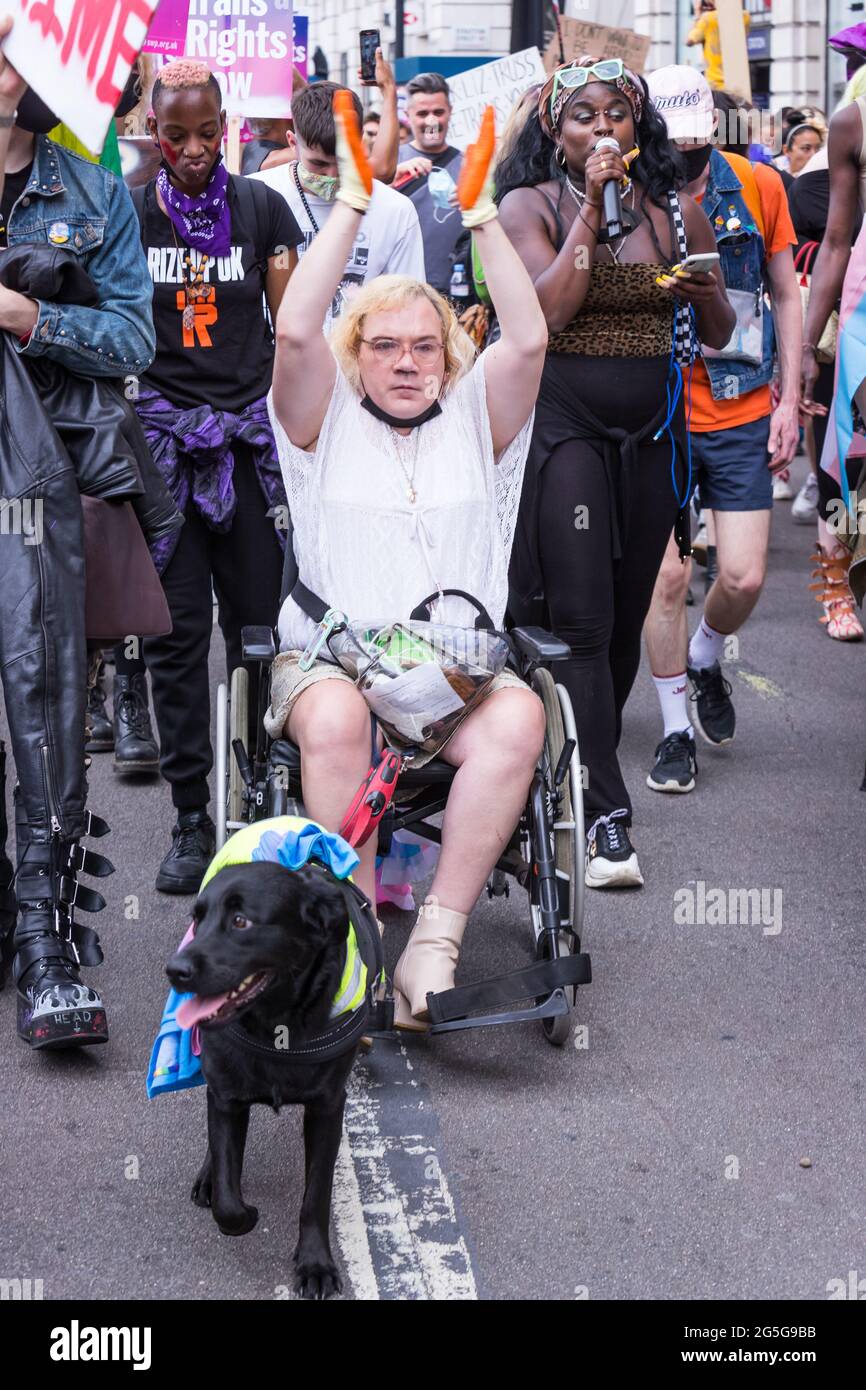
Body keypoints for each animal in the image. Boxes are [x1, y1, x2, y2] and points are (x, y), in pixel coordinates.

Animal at [167, 861, 375, 1295]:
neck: (277, 1026)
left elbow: (316, 1196)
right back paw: (209, 1176)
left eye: (241, 921)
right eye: (198, 918)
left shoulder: (328, 1107)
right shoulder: (226, 1095)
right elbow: (228, 1199)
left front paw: (315, 1265)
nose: (174, 971)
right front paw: (242, 1211)